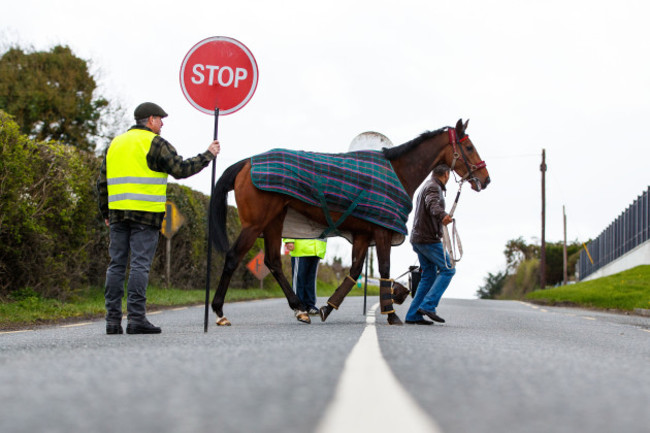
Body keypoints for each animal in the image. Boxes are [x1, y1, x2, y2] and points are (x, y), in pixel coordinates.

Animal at [208, 118, 486, 324]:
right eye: (469, 147)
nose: (486, 178)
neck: (396, 171)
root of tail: (246, 162)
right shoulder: (382, 231)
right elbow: (384, 269)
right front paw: (391, 314)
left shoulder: (363, 235)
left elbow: (353, 272)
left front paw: (327, 307)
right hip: (255, 224)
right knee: (233, 257)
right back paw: (220, 311)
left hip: (275, 221)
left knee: (274, 262)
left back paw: (300, 309)